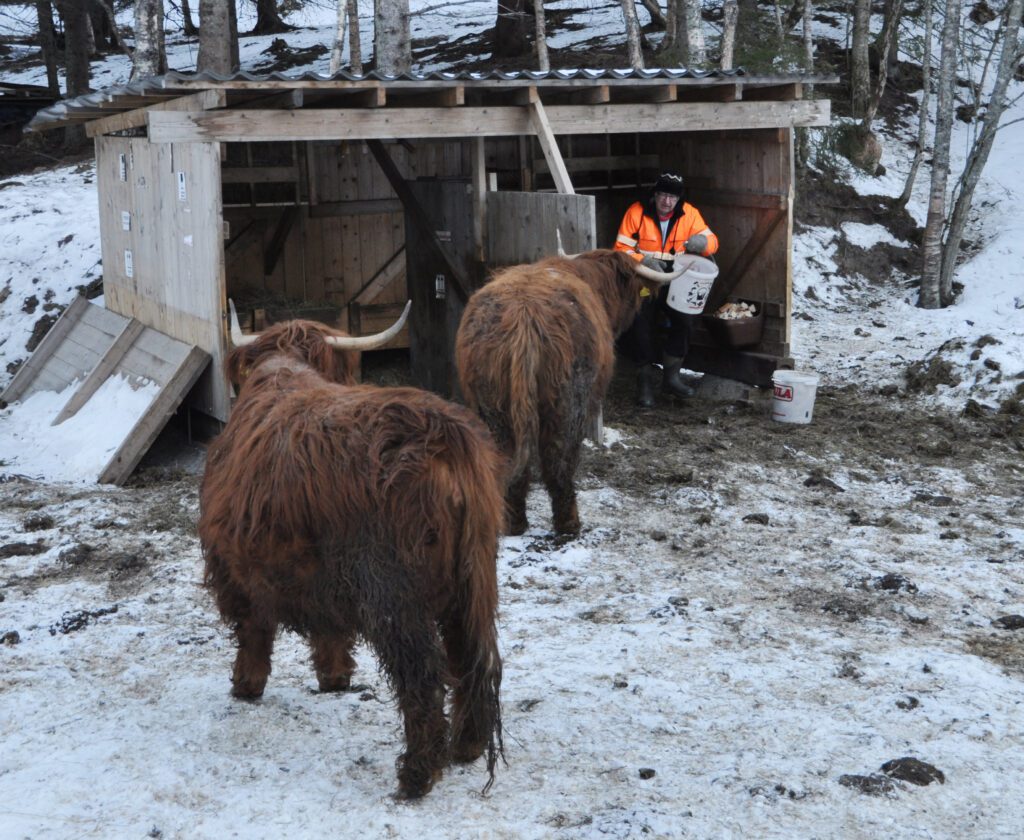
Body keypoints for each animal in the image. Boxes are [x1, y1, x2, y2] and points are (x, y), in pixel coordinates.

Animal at [197, 303, 505, 799]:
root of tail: (443, 437)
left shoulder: (233, 562)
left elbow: (253, 627)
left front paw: (247, 684)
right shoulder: (321, 572)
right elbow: (329, 626)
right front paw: (334, 677)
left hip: (393, 593)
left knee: (422, 675)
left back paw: (416, 775)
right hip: (473, 580)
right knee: (474, 656)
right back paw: (466, 747)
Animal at [456, 245, 679, 536]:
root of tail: (523, 316)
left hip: (492, 404)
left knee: (509, 460)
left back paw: (514, 523)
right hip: (567, 402)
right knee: (559, 461)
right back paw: (569, 524)